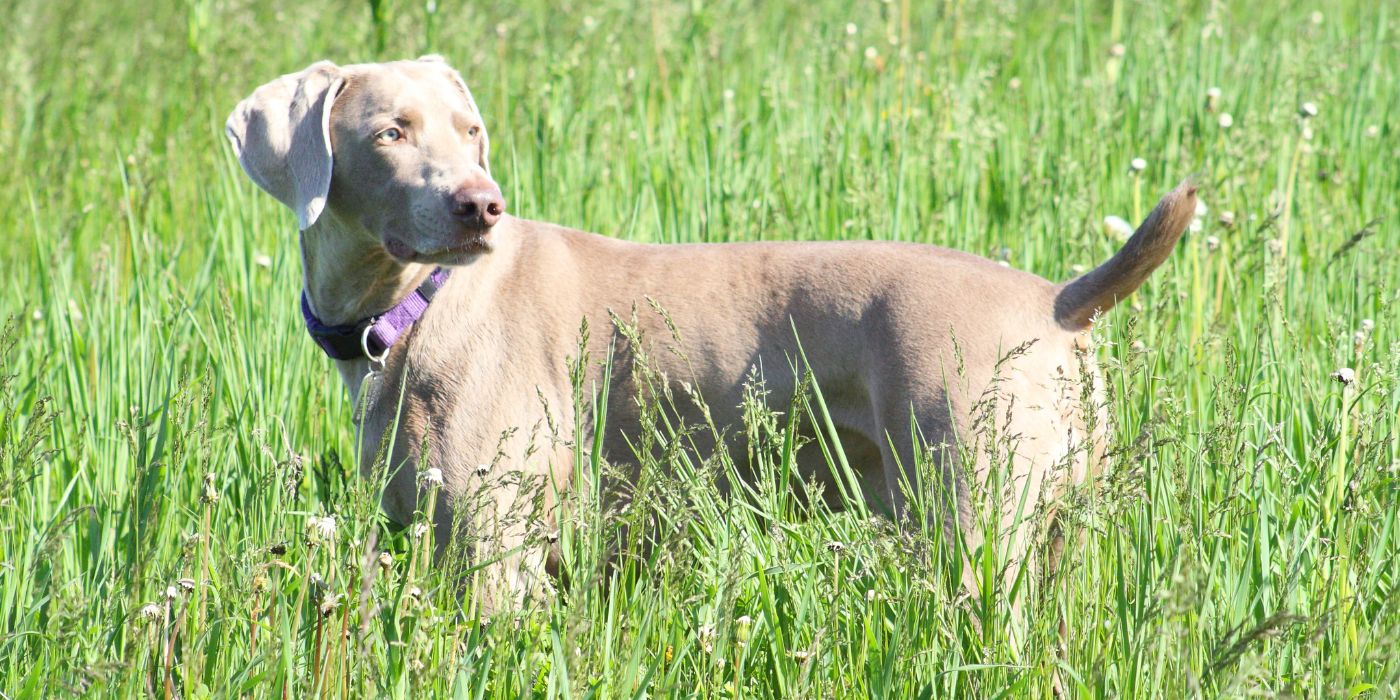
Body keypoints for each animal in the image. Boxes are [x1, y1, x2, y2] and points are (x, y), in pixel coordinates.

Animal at [226, 57, 1192, 610]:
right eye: (392, 132)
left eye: (471, 132)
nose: (481, 205)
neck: (415, 307)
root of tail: (1057, 301)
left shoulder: (495, 549)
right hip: (1059, 527)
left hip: (969, 518)